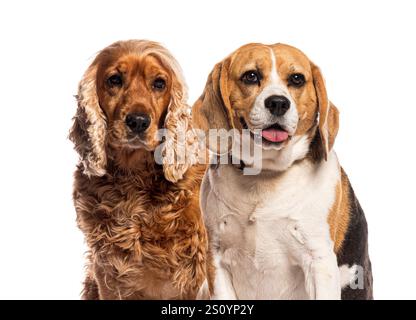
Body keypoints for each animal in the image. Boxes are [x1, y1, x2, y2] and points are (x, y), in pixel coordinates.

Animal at [193, 43, 372, 300]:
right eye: (251, 76)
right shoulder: (215, 259)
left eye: (297, 79)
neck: (264, 174)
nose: (278, 103)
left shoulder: (319, 262)